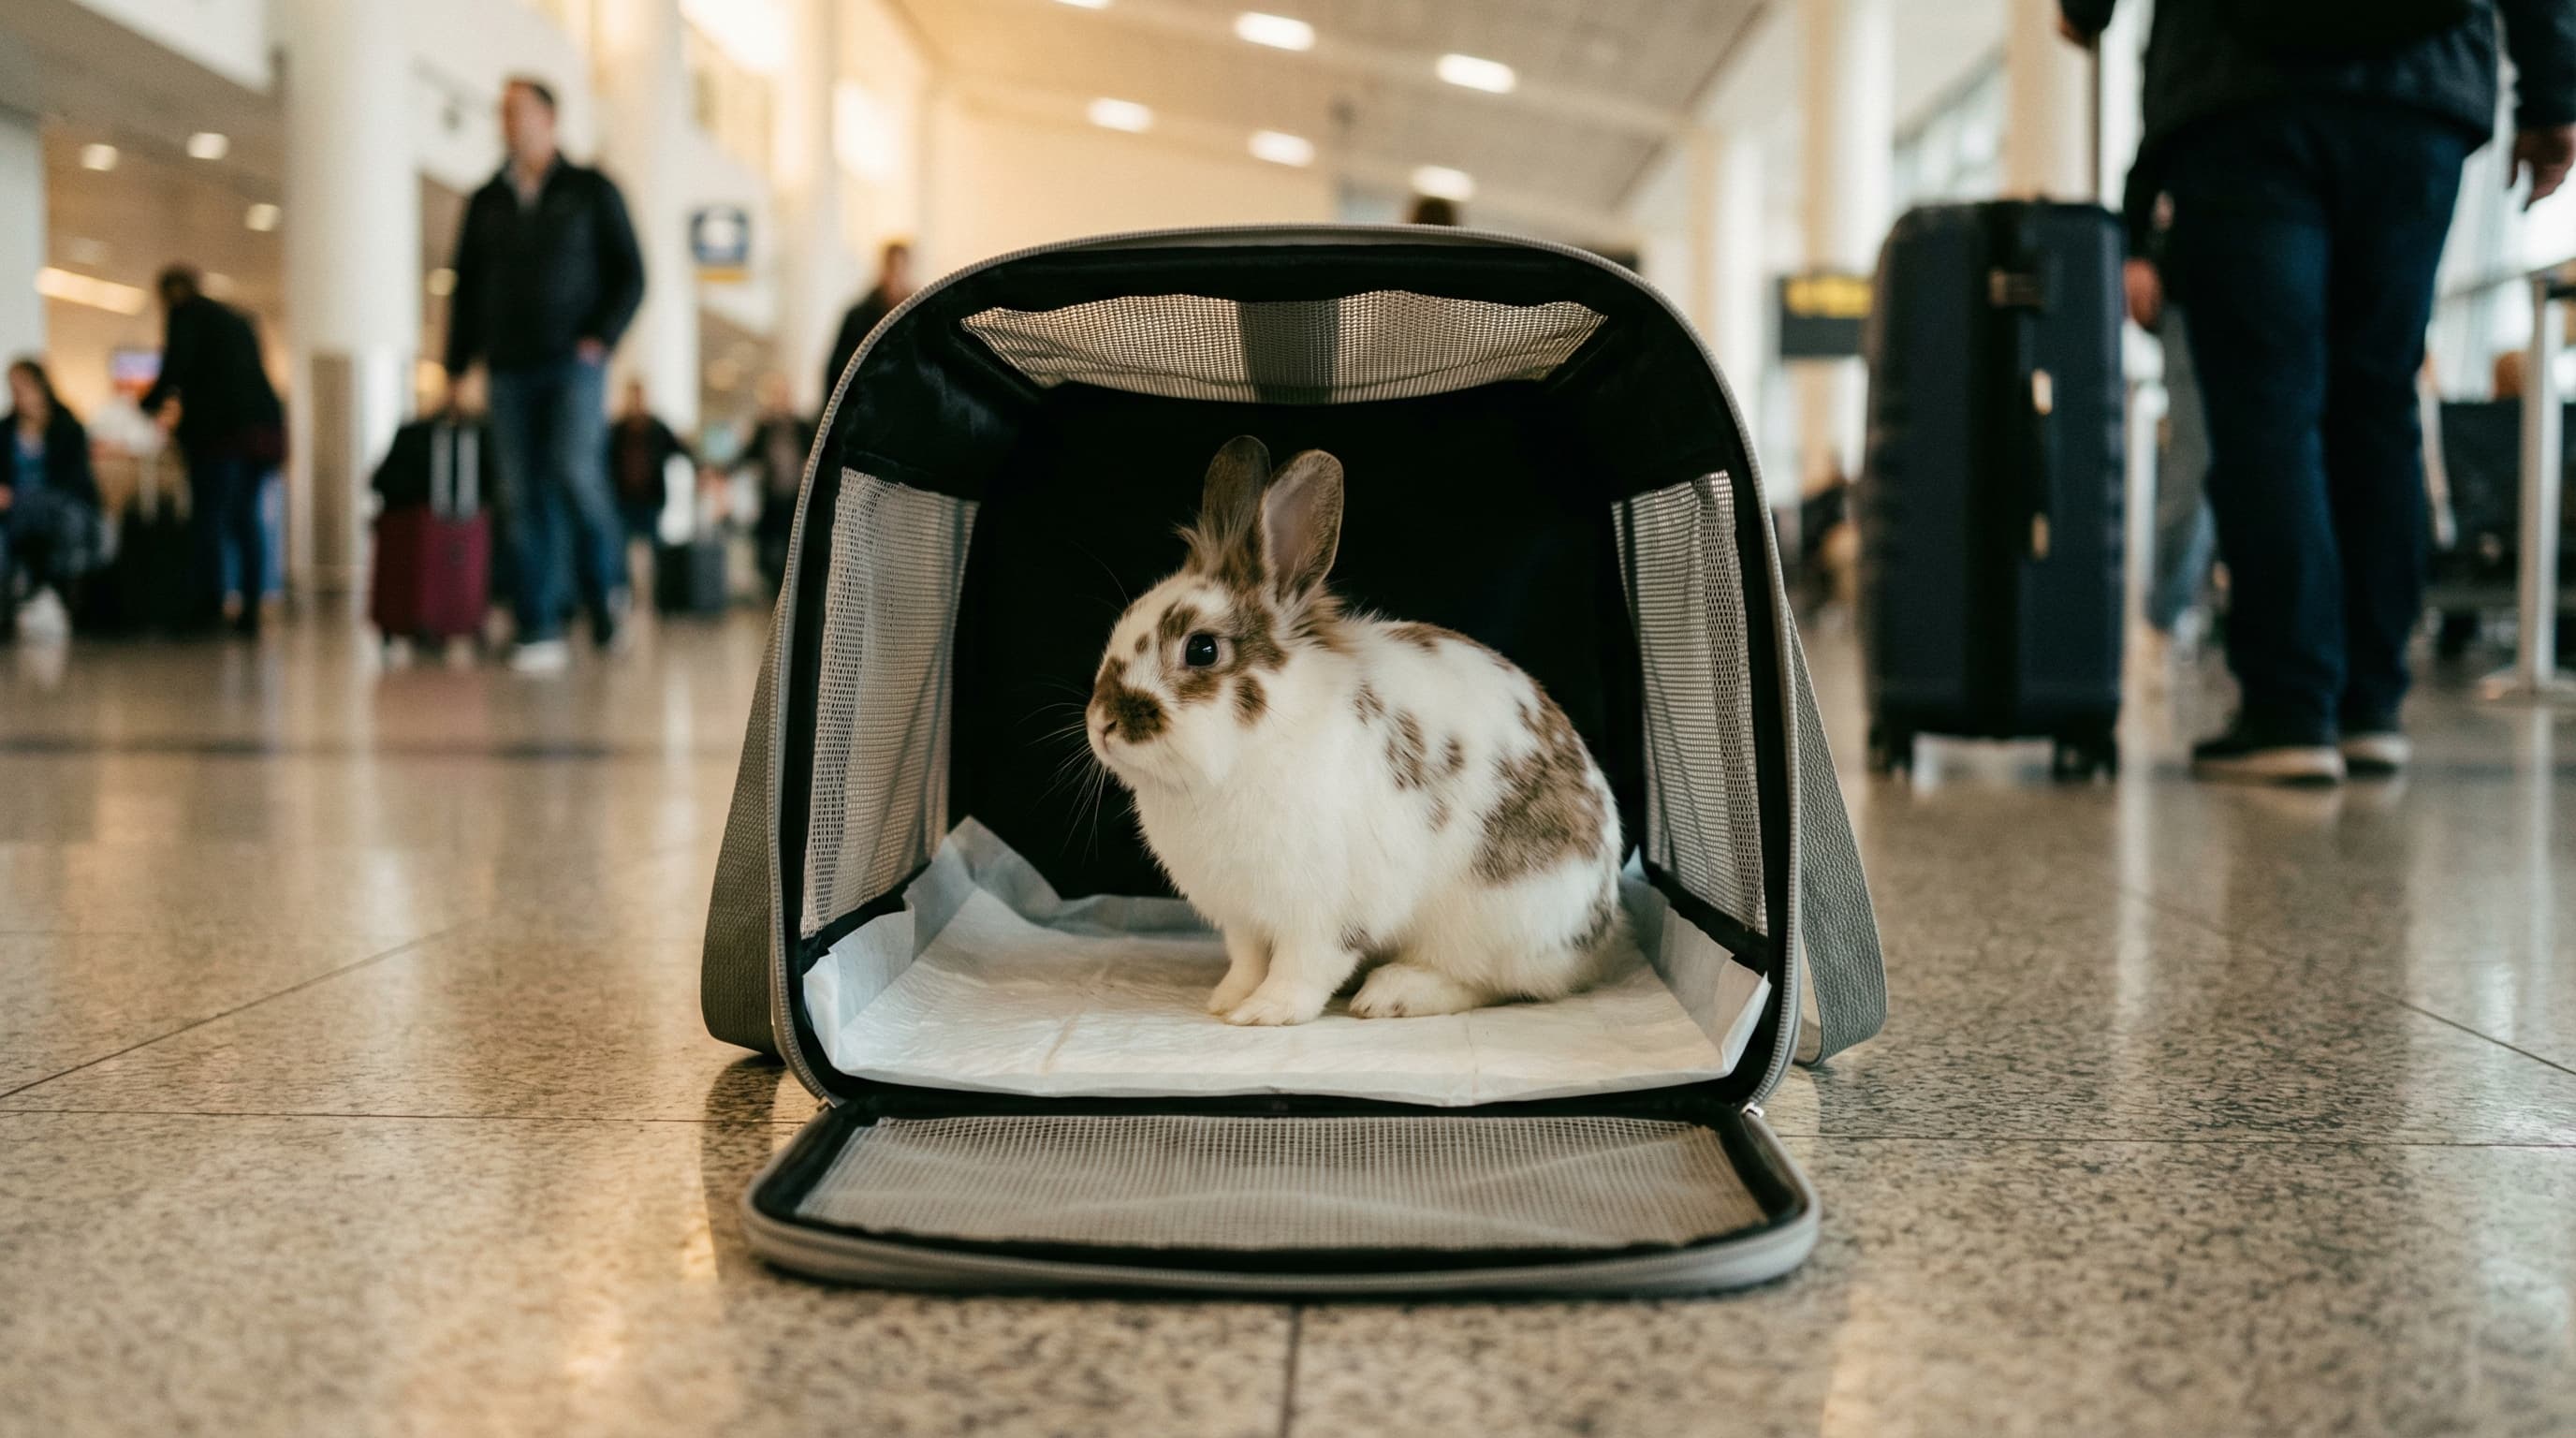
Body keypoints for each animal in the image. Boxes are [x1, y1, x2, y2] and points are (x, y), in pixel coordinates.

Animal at [1084, 434, 1630, 1027]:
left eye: (1202, 650)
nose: (1103, 723)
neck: (1253, 748)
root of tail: (1604, 930)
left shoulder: (1325, 912)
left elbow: (1303, 967)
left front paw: (1265, 1013)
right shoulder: (1243, 917)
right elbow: (1248, 960)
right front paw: (1227, 1000)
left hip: (1497, 920)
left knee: (1492, 982)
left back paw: (1393, 993)